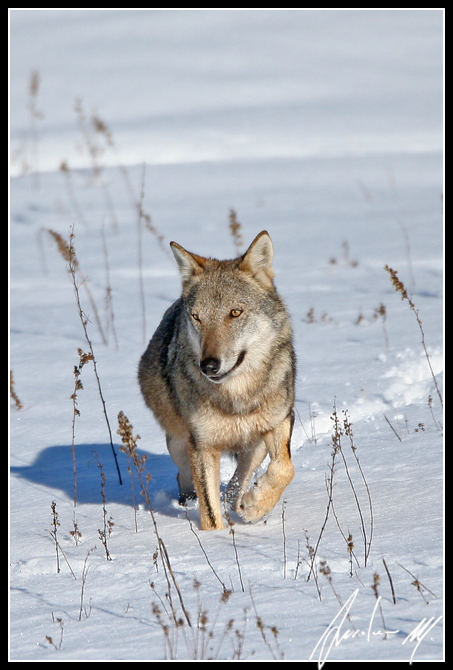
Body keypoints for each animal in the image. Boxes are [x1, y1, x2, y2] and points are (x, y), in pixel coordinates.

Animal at [138, 231, 294, 532]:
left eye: (234, 313)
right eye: (197, 317)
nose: (208, 365)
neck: (236, 397)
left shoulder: (280, 420)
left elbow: (284, 468)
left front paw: (255, 506)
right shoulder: (202, 445)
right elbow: (210, 513)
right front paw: (217, 539)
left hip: (254, 444)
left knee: (238, 481)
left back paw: (241, 501)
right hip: (179, 442)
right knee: (185, 480)